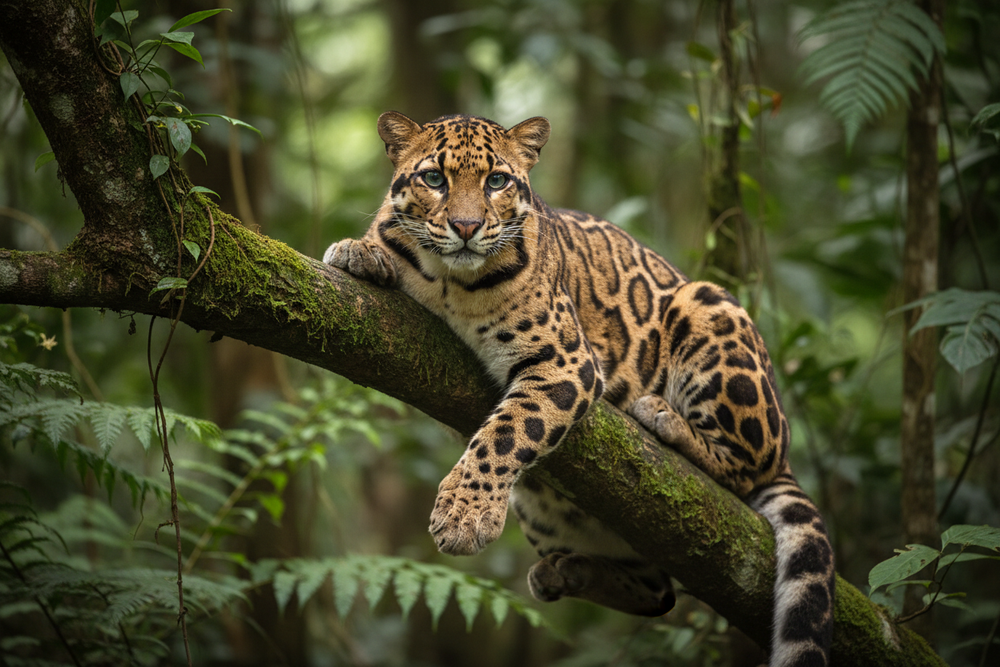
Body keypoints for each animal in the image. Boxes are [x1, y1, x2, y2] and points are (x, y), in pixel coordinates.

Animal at [323, 112, 835, 667]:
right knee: (659, 592)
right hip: (543, 509)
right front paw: (358, 250)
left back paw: (666, 421)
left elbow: (504, 434)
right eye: (434, 179)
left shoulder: (568, 361)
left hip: (709, 308)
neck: (447, 282)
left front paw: (464, 514)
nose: (466, 227)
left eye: (496, 181)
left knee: (745, 469)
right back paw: (564, 572)